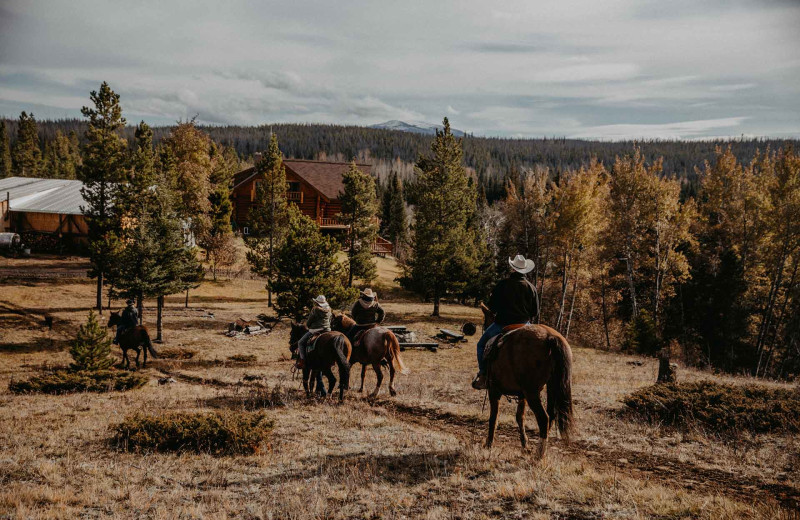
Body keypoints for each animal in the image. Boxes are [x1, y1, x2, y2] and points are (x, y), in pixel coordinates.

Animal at [478, 302, 572, 458]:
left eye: (485, 323)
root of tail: (550, 337)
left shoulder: (494, 390)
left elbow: (493, 417)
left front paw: (488, 444)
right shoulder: (522, 395)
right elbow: (519, 417)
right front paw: (525, 445)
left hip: (532, 392)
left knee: (543, 418)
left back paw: (539, 455)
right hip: (551, 387)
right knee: (551, 417)